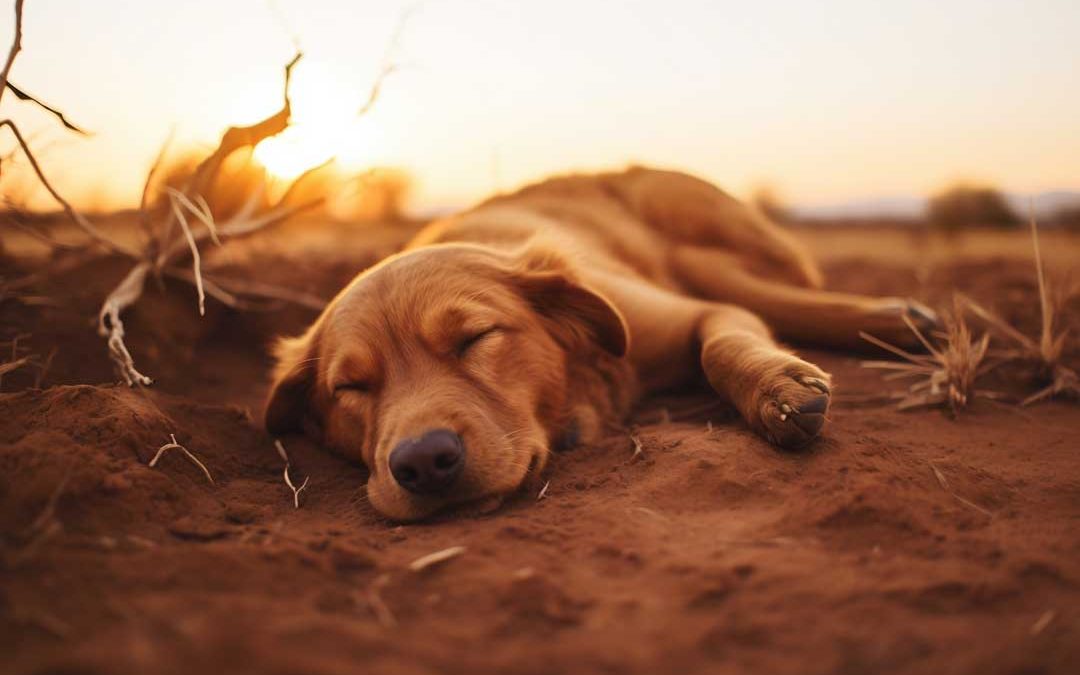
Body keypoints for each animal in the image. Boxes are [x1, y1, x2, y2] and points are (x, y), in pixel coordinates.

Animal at [265, 166, 933, 518]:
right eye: (351, 387)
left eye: (475, 339)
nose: (424, 462)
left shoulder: (689, 314)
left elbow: (719, 347)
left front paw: (777, 390)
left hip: (700, 246)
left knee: (780, 296)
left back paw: (901, 321)